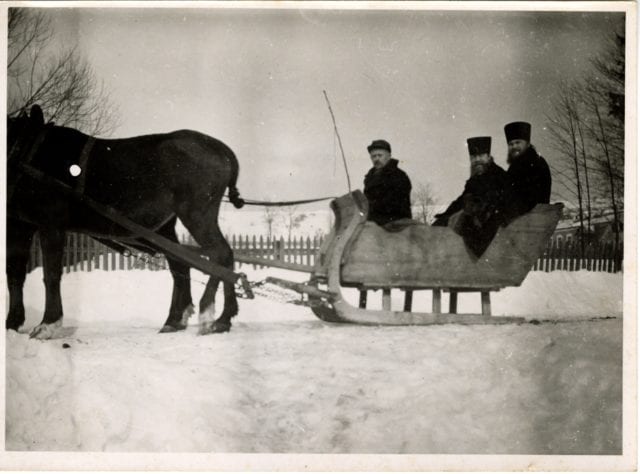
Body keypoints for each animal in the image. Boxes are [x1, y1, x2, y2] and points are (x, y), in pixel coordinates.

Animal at [6, 105, 245, 338]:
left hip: (197, 215)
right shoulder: (18, 225)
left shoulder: (51, 224)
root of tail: (222, 151)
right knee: (183, 262)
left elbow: (51, 274)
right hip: (167, 226)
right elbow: (15, 273)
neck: (27, 150)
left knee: (220, 255)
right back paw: (183, 320)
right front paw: (12, 323)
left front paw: (48, 324)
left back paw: (214, 315)